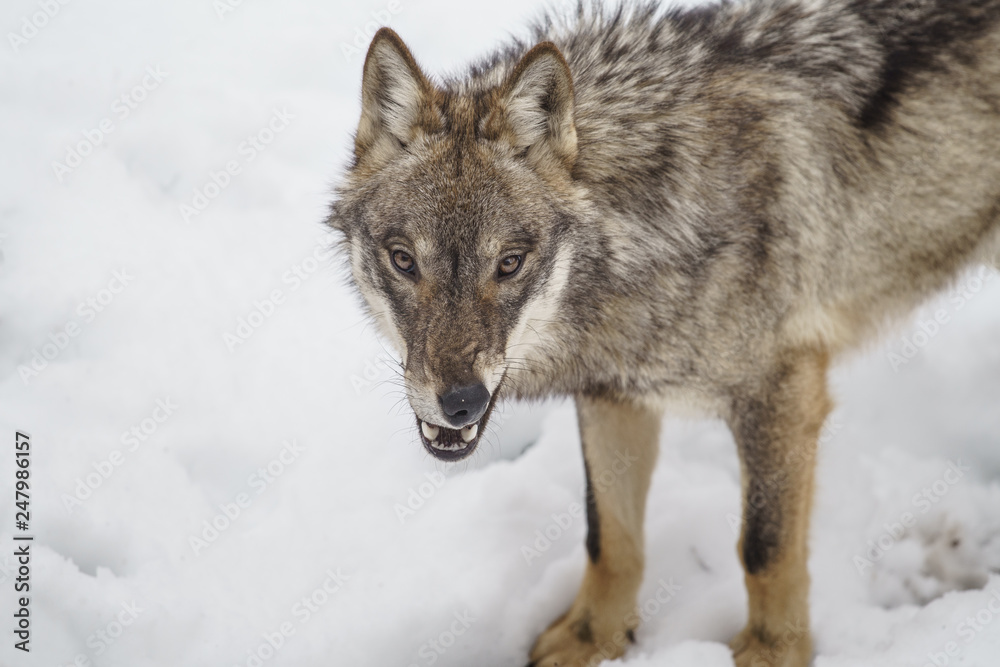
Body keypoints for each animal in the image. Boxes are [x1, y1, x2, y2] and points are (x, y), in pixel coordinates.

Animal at [328, 1, 1000, 664]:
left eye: (510, 264)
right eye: (404, 261)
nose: (460, 402)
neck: (644, 234)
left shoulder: (782, 395)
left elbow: (764, 550)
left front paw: (771, 652)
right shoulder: (612, 397)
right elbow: (610, 539)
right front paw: (592, 639)